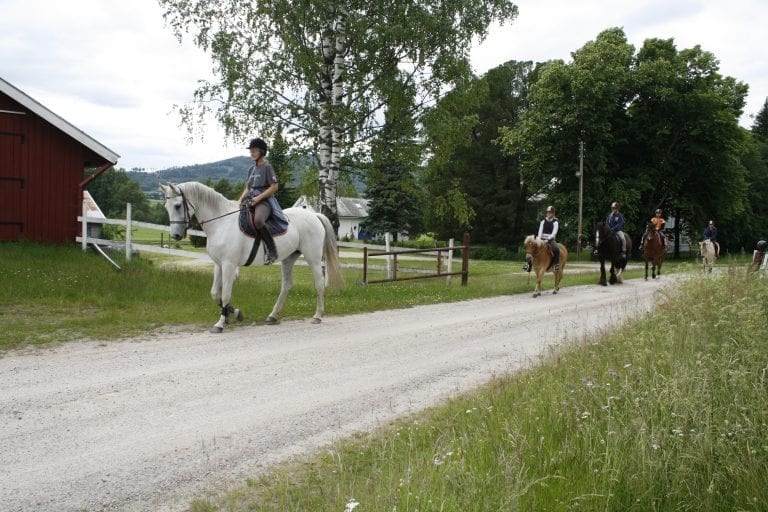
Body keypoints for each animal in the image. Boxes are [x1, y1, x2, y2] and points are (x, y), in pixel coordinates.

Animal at [160, 181, 344, 332]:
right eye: (166, 207)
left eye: (177, 206)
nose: (176, 235)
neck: (221, 224)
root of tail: (314, 216)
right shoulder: (219, 264)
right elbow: (215, 293)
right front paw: (234, 313)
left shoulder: (229, 264)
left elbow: (225, 294)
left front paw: (220, 324)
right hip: (288, 258)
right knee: (286, 285)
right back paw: (272, 316)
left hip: (313, 258)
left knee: (319, 283)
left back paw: (317, 316)